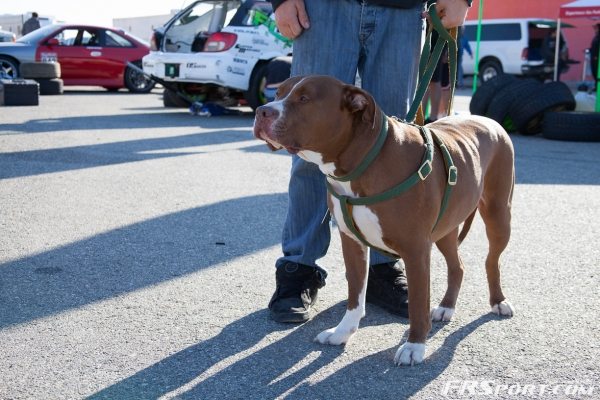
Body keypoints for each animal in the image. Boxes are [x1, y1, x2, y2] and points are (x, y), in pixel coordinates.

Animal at [253, 74, 516, 366]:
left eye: (304, 99)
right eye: (279, 93)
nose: (261, 111)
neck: (363, 162)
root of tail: (488, 120)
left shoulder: (415, 249)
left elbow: (418, 302)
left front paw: (415, 345)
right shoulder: (352, 243)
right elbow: (355, 293)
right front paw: (343, 332)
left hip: (498, 215)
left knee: (491, 261)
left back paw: (498, 301)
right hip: (446, 228)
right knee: (457, 266)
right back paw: (447, 307)